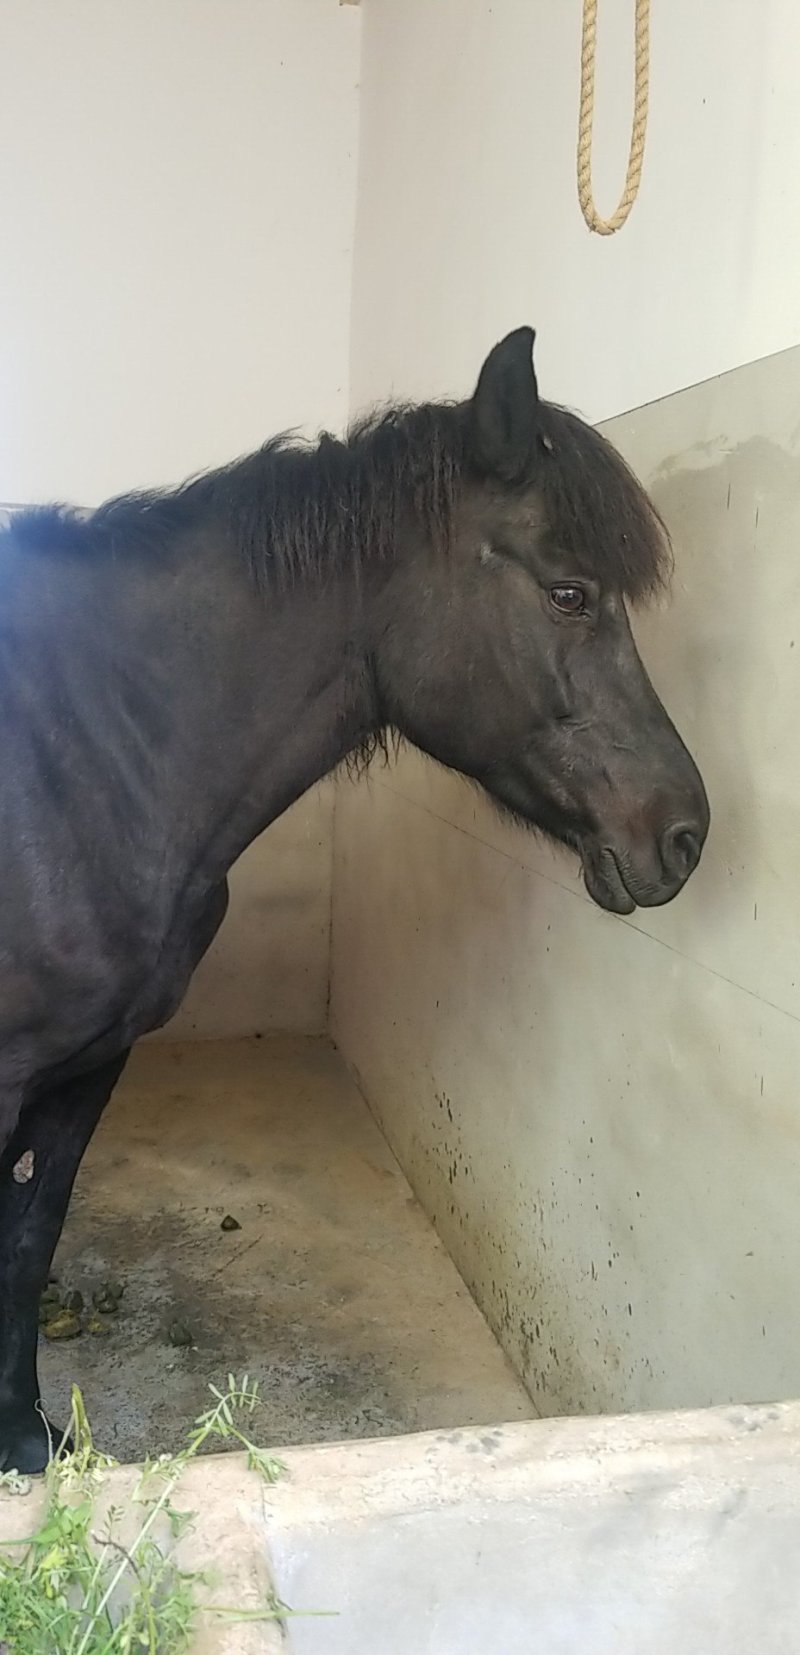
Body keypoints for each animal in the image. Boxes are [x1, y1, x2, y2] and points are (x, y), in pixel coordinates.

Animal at [0, 327, 709, 1472]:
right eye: (568, 593)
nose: (684, 833)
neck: (71, 757)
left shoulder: (85, 1068)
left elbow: (27, 1245)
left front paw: (27, 1442)